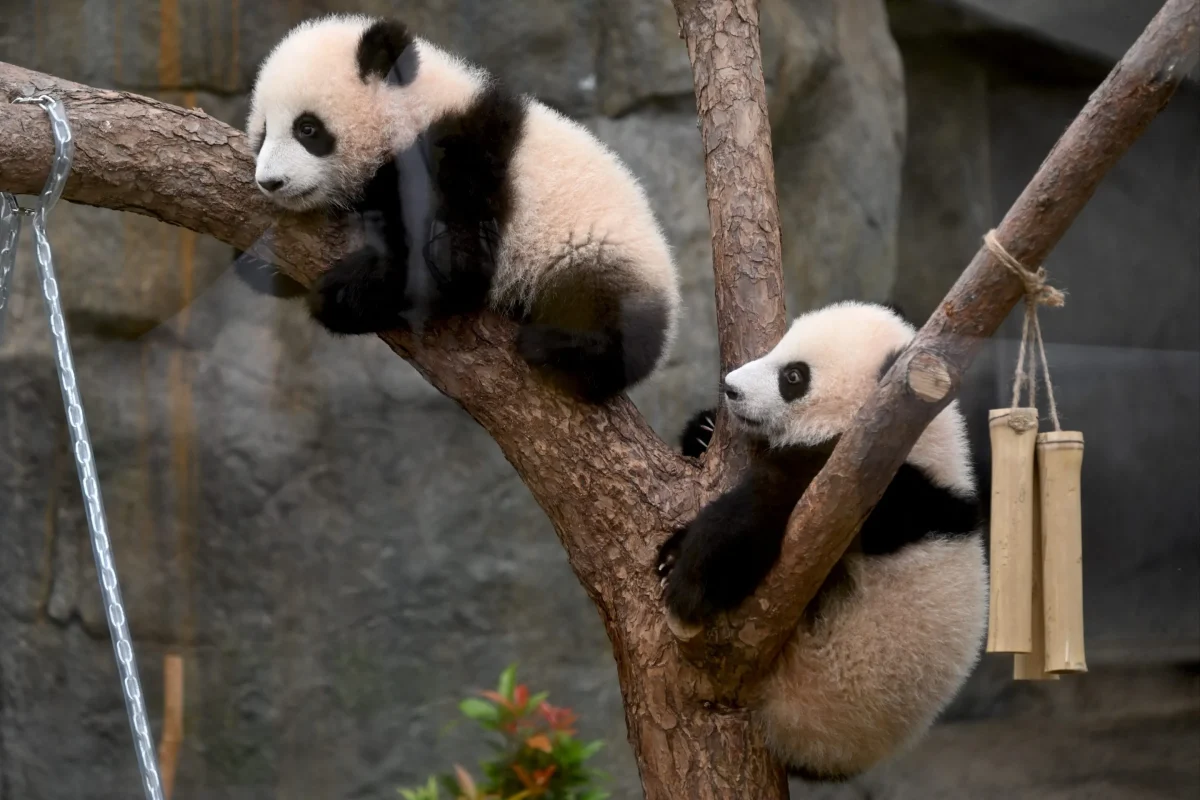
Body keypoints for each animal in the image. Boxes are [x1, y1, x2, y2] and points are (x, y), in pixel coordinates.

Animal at [244, 14, 681, 402]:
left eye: (307, 129)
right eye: (263, 133)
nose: (270, 182)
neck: (412, 111)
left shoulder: (462, 159)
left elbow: (456, 260)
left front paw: (340, 293)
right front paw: (258, 261)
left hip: (596, 251)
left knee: (606, 312)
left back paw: (562, 348)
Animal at [658, 300, 987, 781]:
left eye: (793, 377)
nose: (731, 389)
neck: (918, 439)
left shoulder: (870, 489)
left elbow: (769, 503)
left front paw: (689, 577)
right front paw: (701, 432)